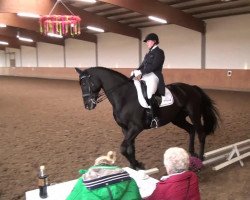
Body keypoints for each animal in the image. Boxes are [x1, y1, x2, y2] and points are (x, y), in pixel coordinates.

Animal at [75, 67, 219, 169]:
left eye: (85, 84)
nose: (88, 105)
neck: (125, 97)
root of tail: (192, 88)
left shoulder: (136, 128)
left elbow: (123, 148)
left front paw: (137, 164)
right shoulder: (126, 129)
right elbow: (130, 148)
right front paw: (135, 165)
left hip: (194, 115)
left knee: (201, 134)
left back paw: (200, 159)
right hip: (177, 119)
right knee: (191, 130)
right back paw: (192, 153)